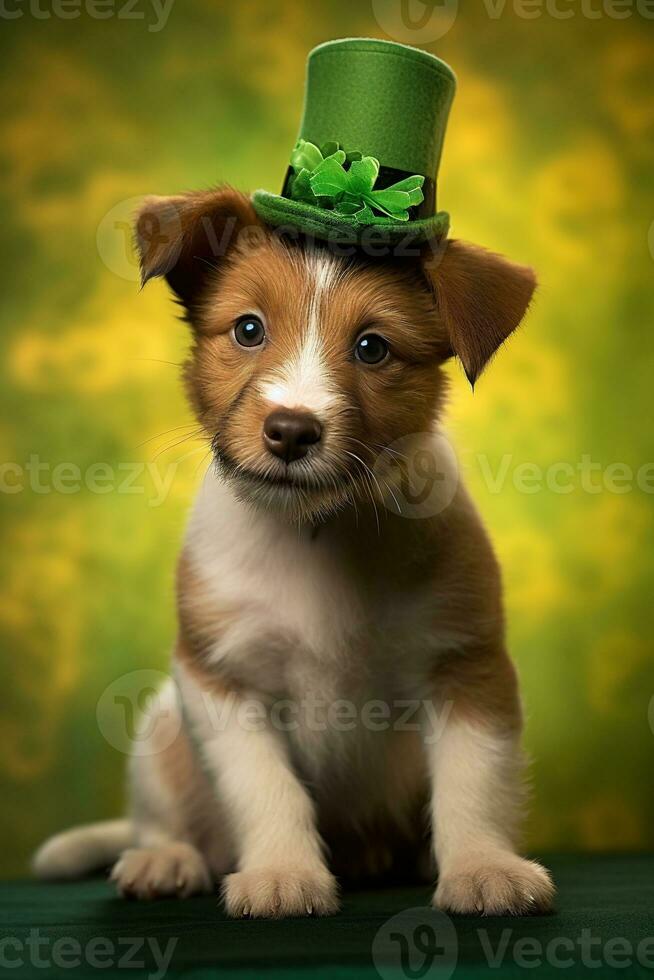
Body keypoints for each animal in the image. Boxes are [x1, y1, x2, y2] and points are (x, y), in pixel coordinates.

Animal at [33, 186, 556, 920]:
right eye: (248, 330)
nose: (290, 430)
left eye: (372, 347)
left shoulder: (467, 668)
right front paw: (283, 871)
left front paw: (484, 866)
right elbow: (265, 788)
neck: (315, 530)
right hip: (161, 730)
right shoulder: (222, 682)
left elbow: (473, 782)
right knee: (164, 817)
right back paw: (166, 859)